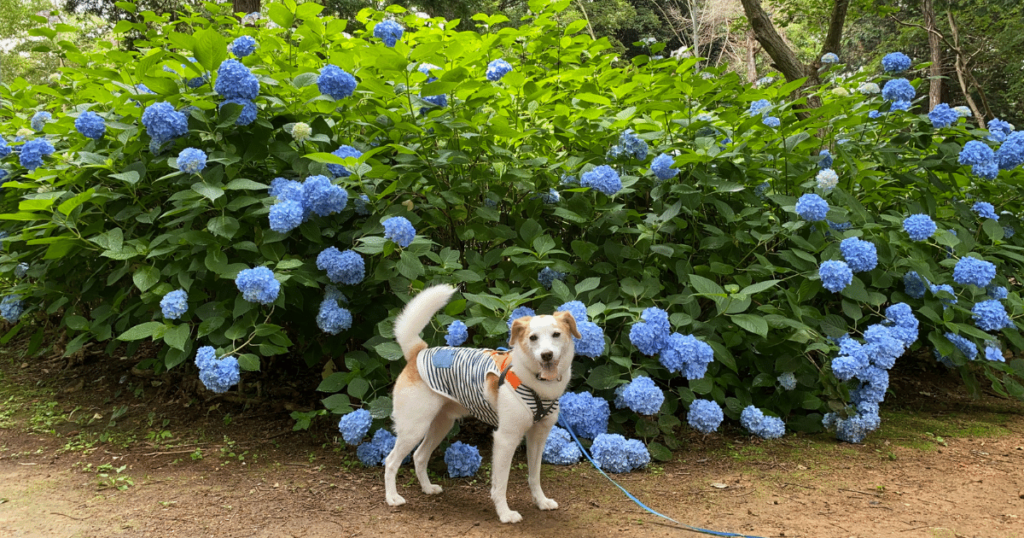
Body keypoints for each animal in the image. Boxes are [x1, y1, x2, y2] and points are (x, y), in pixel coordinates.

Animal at [385, 282, 581, 522]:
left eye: (556, 334)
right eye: (533, 338)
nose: (546, 355)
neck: (535, 382)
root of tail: (418, 351)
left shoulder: (538, 436)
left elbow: (534, 475)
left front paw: (541, 501)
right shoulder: (505, 439)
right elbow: (501, 483)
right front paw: (505, 514)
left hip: (440, 425)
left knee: (419, 456)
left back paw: (428, 488)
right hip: (414, 427)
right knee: (391, 461)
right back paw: (392, 498)